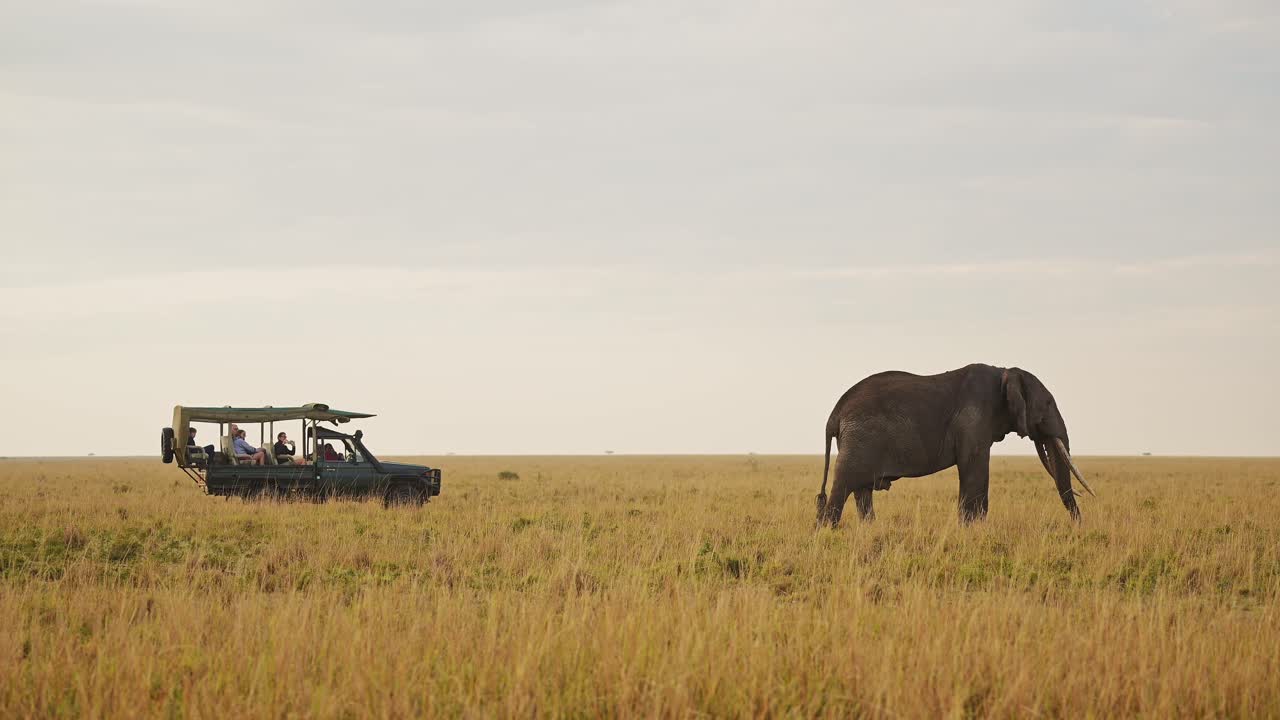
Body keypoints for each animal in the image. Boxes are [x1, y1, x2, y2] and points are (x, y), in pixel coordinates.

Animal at [815, 363, 1094, 526]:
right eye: (1047, 404)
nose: (1077, 526)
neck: (1004, 371)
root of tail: (834, 414)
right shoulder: (973, 419)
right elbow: (975, 469)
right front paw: (973, 529)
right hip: (859, 441)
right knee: (844, 485)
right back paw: (828, 531)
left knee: (862, 490)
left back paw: (870, 529)